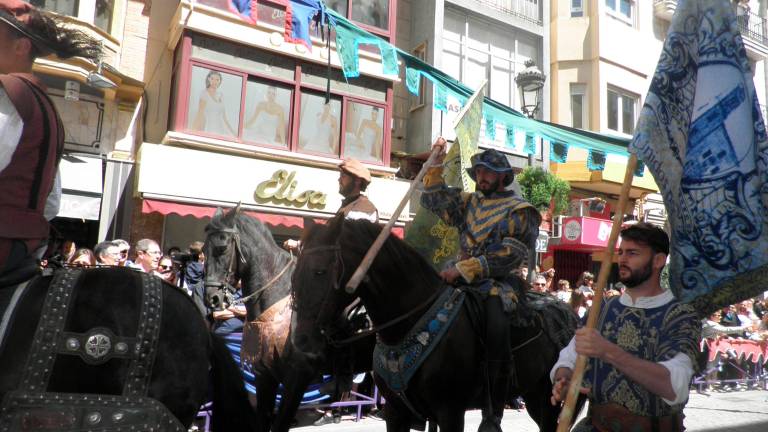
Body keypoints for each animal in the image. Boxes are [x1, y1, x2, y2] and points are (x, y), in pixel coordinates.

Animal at [292, 216, 580, 432]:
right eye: (295, 271)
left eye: (320, 271)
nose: (300, 340)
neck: (407, 326)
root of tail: (571, 317)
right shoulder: (395, 412)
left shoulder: (450, 412)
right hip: (533, 396)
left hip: (548, 399)